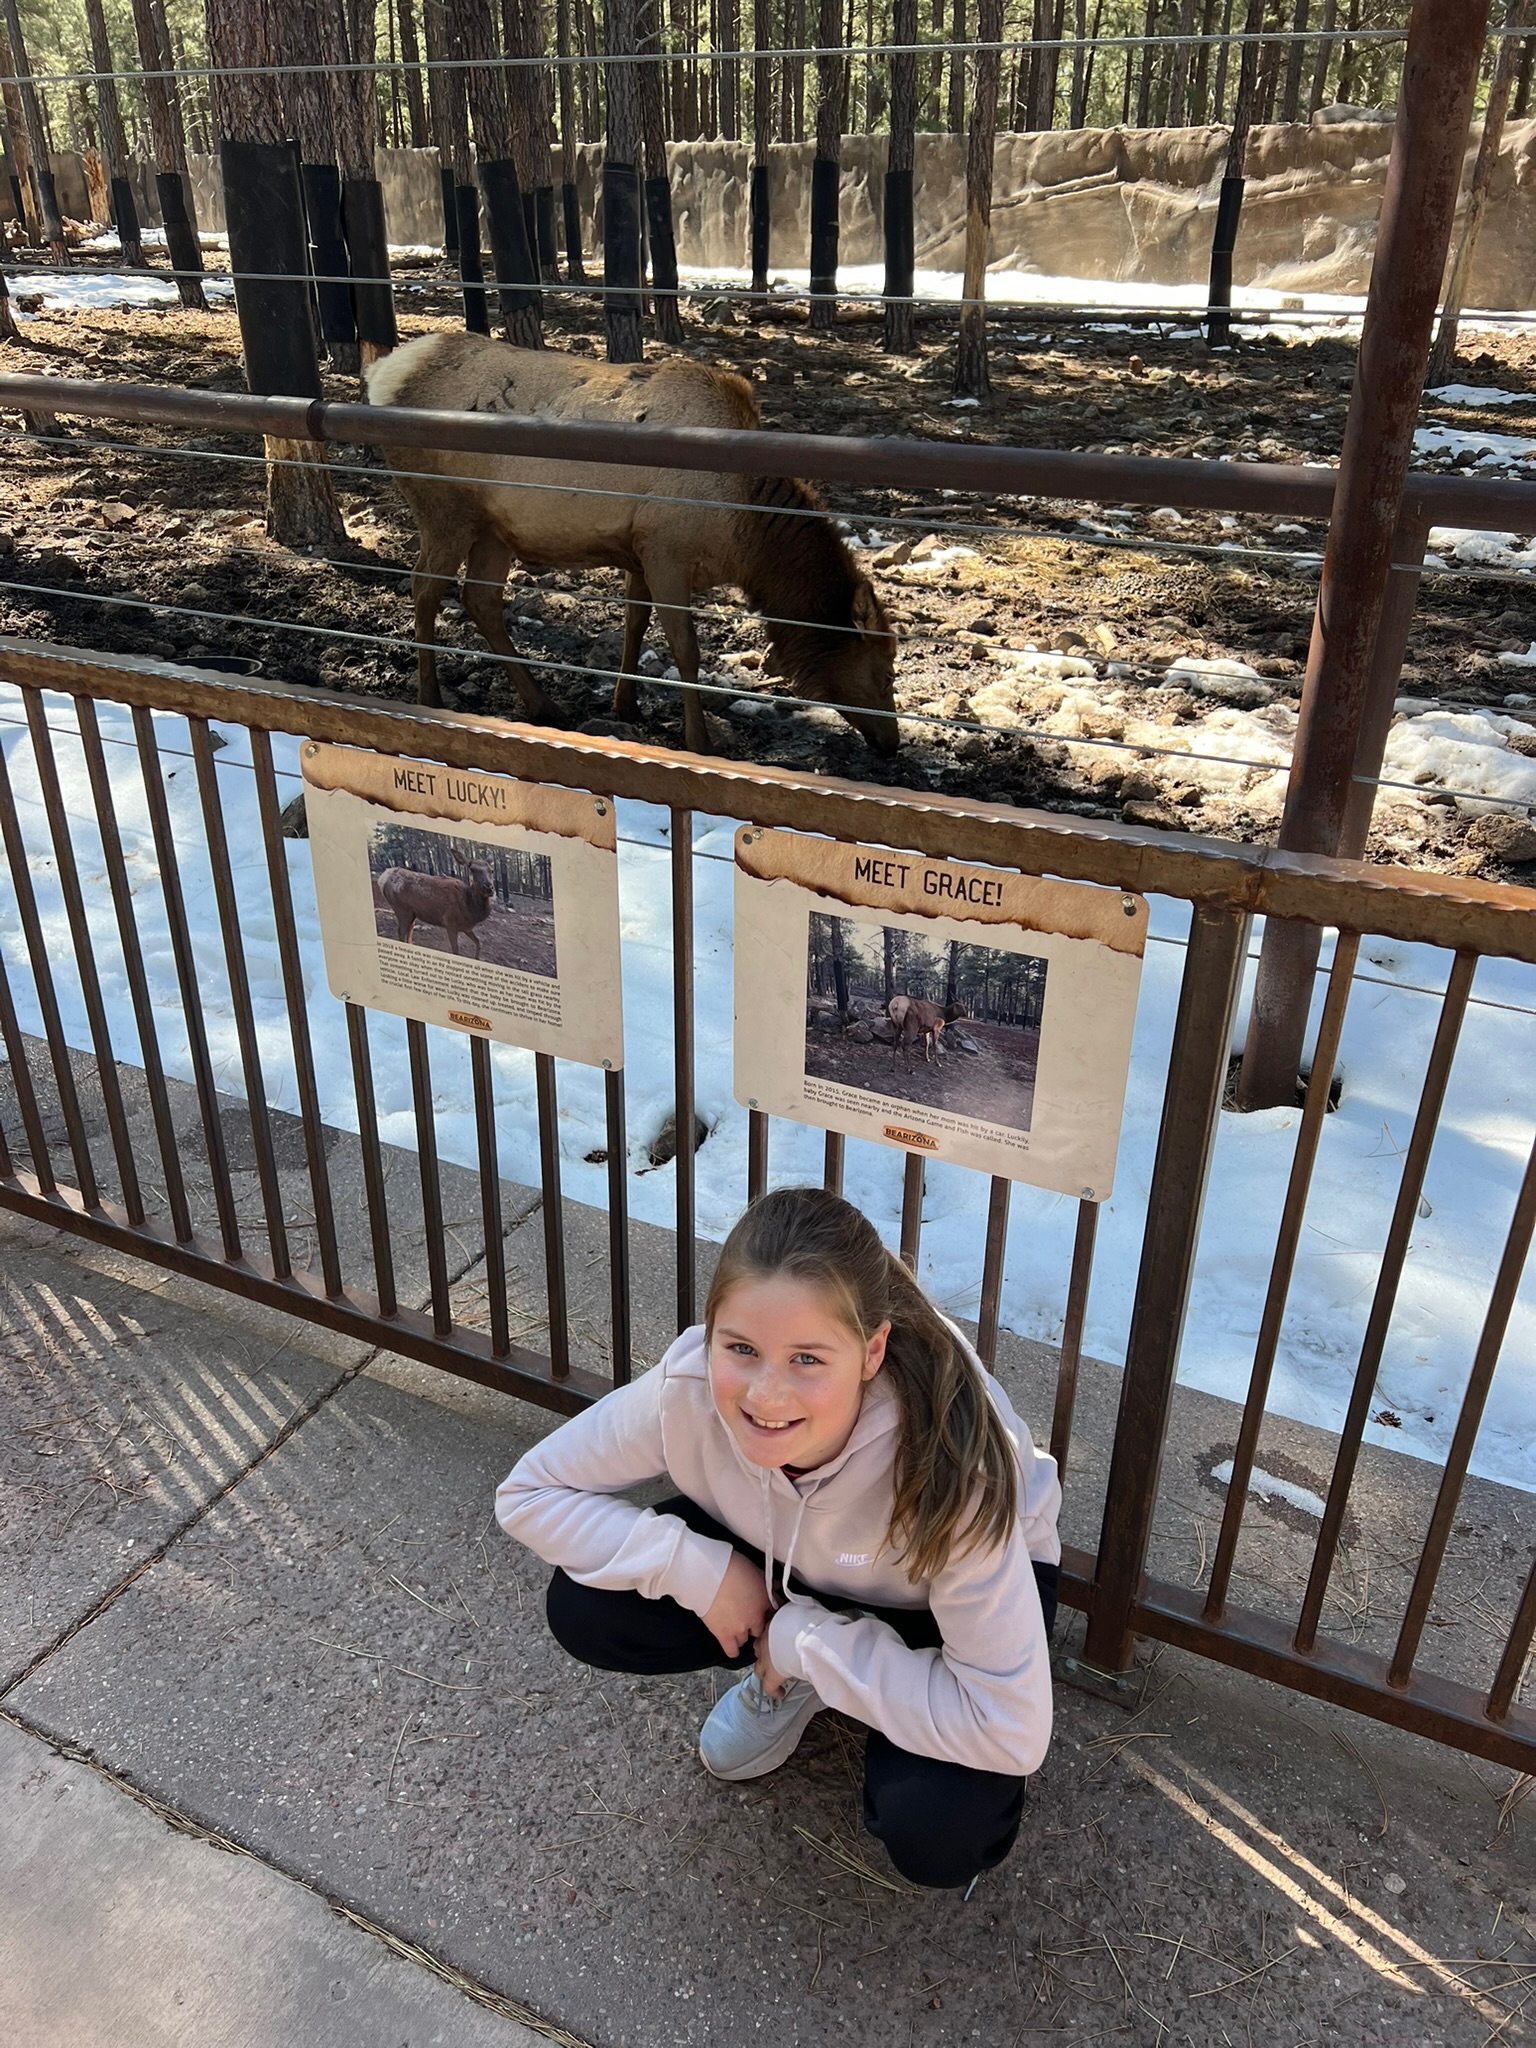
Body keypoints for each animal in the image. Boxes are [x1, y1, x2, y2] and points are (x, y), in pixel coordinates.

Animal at [363, 331, 900, 758]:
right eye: (885, 672)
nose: (892, 745)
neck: (743, 535)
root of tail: (380, 375)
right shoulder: (667, 550)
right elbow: (686, 650)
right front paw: (699, 740)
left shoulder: (639, 550)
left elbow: (634, 625)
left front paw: (626, 704)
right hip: (445, 510)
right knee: (424, 586)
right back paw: (430, 697)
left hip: (495, 528)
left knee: (480, 598)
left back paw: (543, 704)